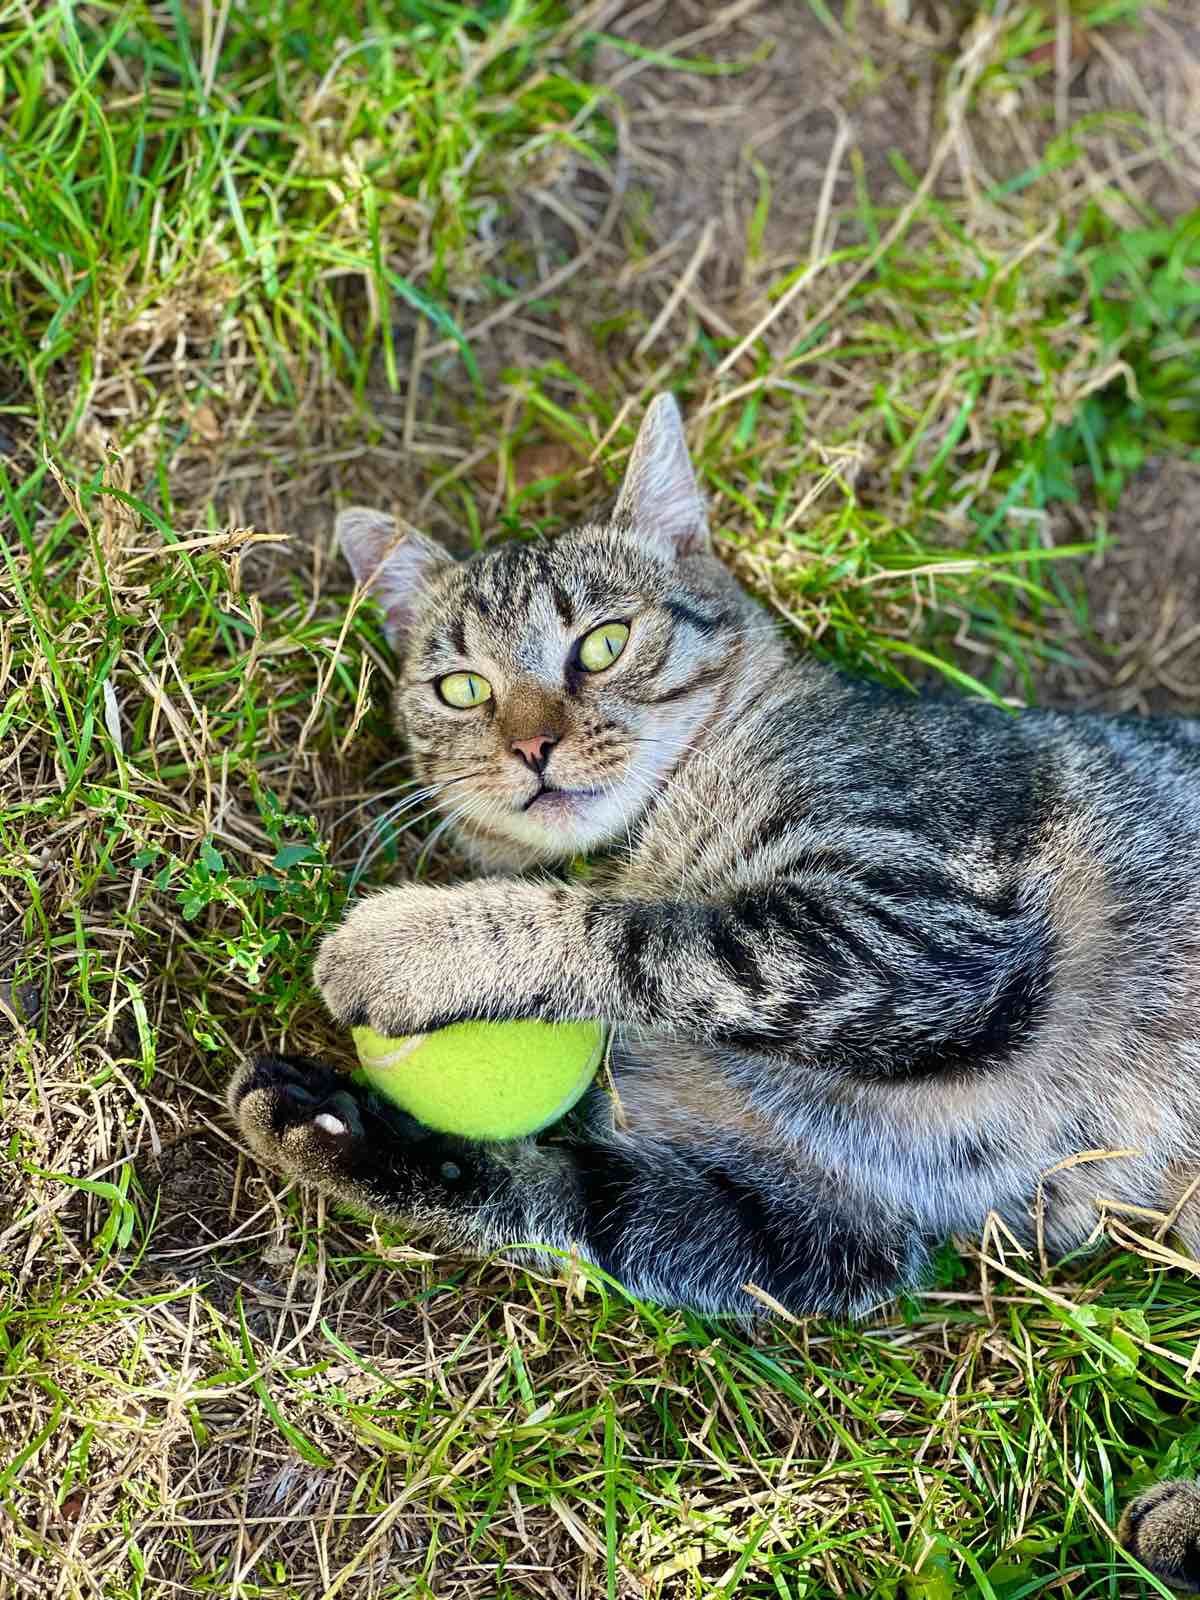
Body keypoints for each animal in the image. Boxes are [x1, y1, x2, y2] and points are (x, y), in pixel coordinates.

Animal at [227, 396, 1200, 1587]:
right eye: (462, 688)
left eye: (602, 644)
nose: (533, 745)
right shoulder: (809, 1219)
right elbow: (562, 1194)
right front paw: (337, 1130)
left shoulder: (927, 933)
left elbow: (645, 933)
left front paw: (410, 942)